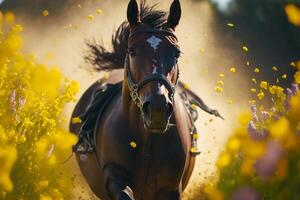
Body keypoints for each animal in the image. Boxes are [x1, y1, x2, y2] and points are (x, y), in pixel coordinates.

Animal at [69, 0, 221, 199]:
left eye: (176, 53)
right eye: (132, 50)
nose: (157, 109)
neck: (148, 139)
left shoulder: (170, 188)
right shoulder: (114, 177)